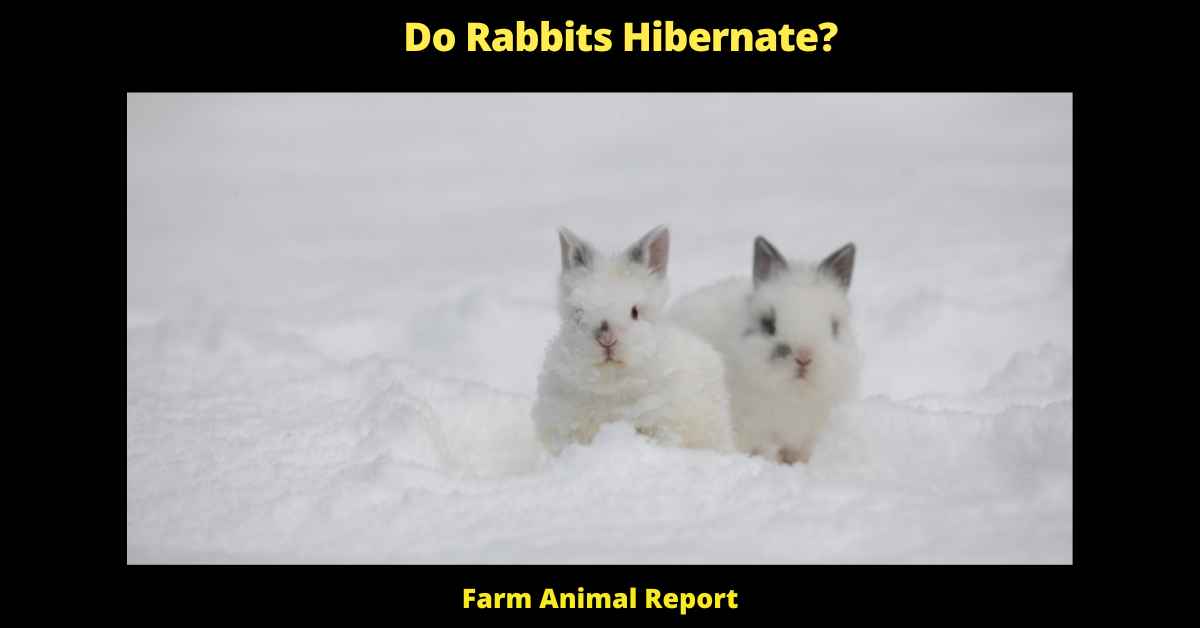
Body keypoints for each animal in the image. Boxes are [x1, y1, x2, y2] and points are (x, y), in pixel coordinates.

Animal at [670, 236, 862, 464]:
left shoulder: (806, 436)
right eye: (768, 324)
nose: (804, 358)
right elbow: (764, 451)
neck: (793, 395)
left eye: (834, 326)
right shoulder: (753, 431)